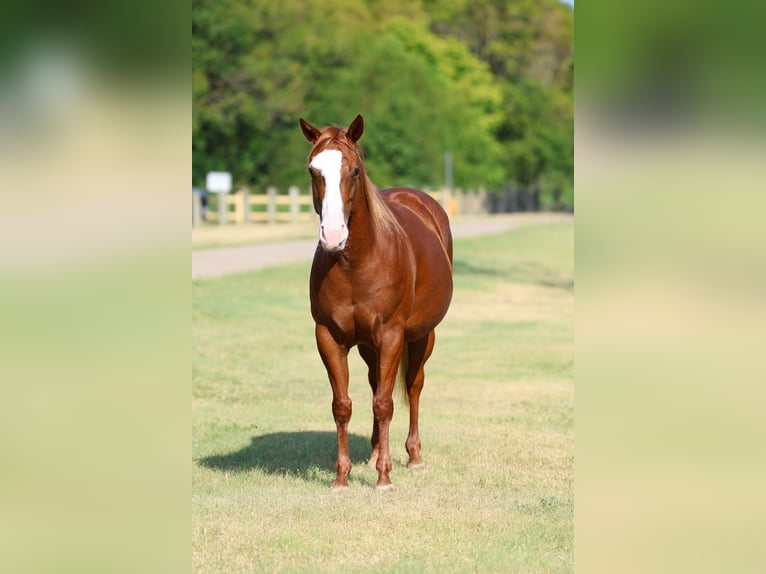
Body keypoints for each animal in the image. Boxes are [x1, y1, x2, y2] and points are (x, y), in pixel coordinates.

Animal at [299, 114, 453, 491]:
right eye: (313, 170)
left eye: (355, 170)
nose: (333, 235)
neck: (355, 263)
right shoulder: (329, 337)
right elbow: (343, 405)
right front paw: (342, 478)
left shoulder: (391, 335)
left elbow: (385, 403)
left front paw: (384, 477)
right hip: (369, 346)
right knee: (373, 384)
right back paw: (371, 454)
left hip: (421, 337)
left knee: (413, 385)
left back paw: (413, 456)